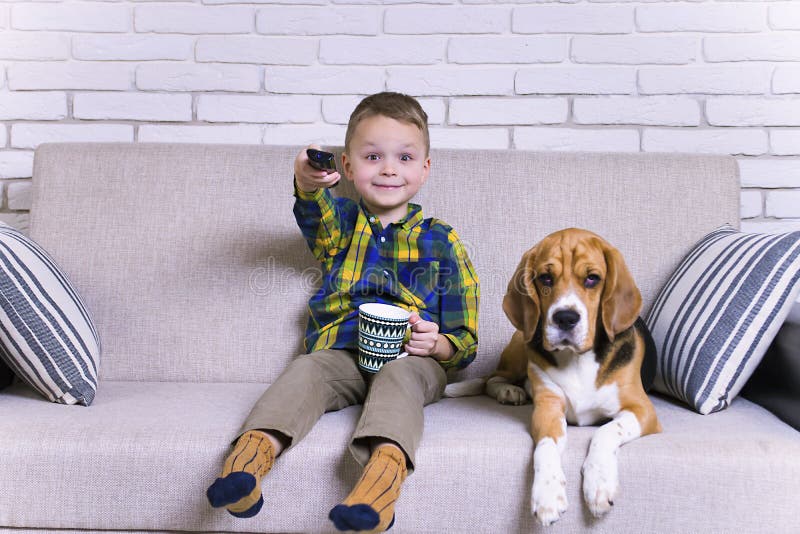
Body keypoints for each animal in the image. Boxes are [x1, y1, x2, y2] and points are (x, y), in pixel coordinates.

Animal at [488, 228, 664, 528]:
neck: (577, 358)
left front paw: (599, 484)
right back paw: (510, 391)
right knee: (492, 379)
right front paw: (547, 494)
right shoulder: (547, 407)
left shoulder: (643, 410)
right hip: (520, 341)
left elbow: (606, 431)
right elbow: (545, 447)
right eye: (545, 278)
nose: (565, 318)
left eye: (592, 278)